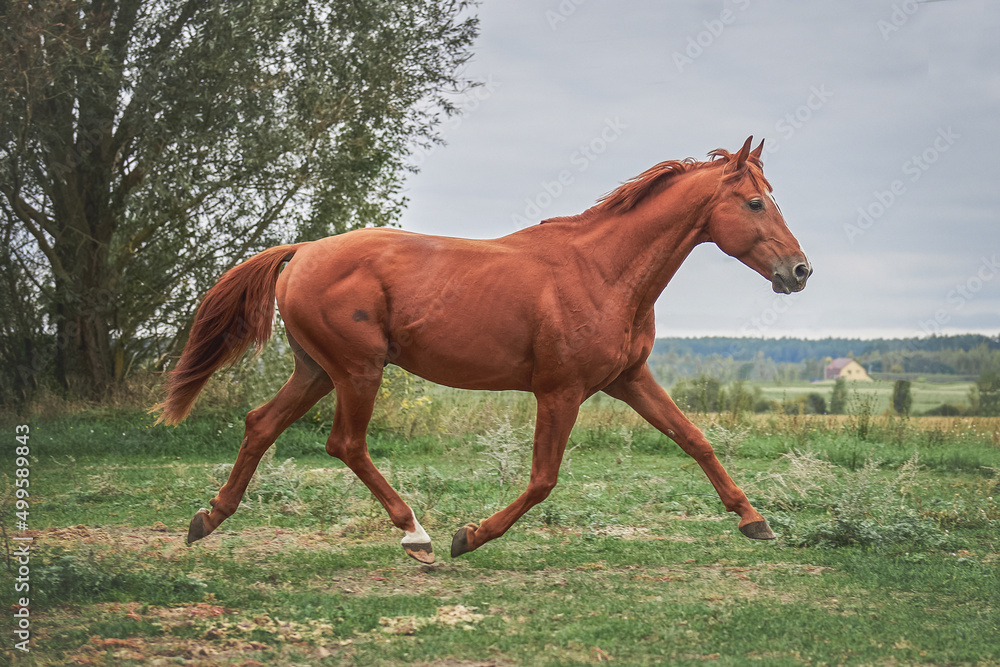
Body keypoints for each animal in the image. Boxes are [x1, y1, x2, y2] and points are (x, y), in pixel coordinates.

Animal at [155, 136, 811, 564]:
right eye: (755, 202)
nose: (800, 270)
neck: (601, 271)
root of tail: (304, 251)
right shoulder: (561, 391)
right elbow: (544, 479)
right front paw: (469, 536)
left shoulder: (629, 379)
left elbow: (695, 439)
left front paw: (754, 520)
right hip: (357, 370)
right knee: (345, 444)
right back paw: (417, 536)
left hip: (317, 370)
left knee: (261, 424)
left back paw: (207, 519)